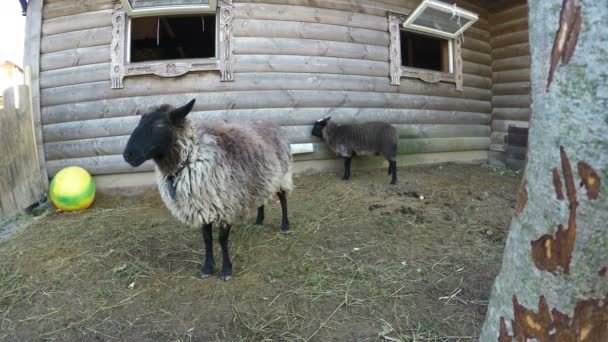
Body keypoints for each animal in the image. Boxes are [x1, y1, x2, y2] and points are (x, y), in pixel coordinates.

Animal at [123, 99, 292, 280]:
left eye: (159, 124)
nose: (127, 155)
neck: (190, 158)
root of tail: (271, 123)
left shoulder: (226, 206)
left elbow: (222, 240)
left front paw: (226, 270)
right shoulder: (202, 206)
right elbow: (207, 239)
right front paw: (207, 268)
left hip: (282, 175)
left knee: (283, 198)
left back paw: (285, 225)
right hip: (261, 177)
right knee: (261, 198)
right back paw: (259, 220)